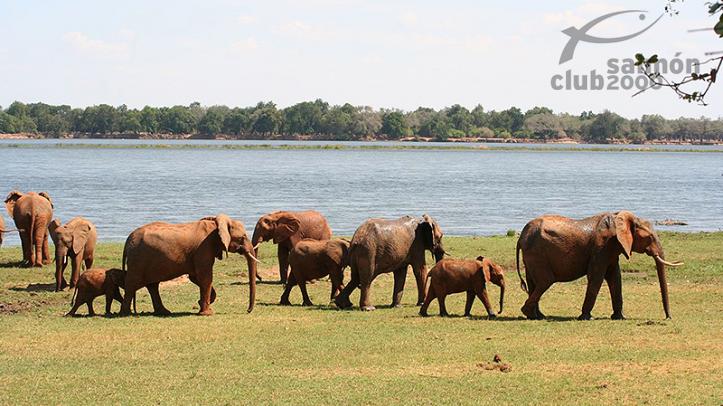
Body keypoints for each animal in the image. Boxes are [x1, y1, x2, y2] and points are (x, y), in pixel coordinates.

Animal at [120, 214, 259, 316]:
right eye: (243, 237)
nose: (247, 311)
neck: (215, 223)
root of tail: (127, 241)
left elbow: (195, 277)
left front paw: (202, 304)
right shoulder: (203, 248)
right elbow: (205, 277)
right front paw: (207, 313)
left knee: (153, 286)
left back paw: (164, 312)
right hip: (138, 261)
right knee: (131, 284)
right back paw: (125, 314)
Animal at [516, 211, 683, 321]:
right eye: (649, 237)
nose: (668, 318)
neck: (619, 219)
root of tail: (521, 237)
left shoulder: (612, 249)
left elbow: (615, 277)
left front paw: (619, 317)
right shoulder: (602, 247)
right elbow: (596, 277)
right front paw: (585, 317)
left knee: (534, 283)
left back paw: (538, 316)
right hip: (537, 254)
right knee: (545, 281)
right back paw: (529, 314)